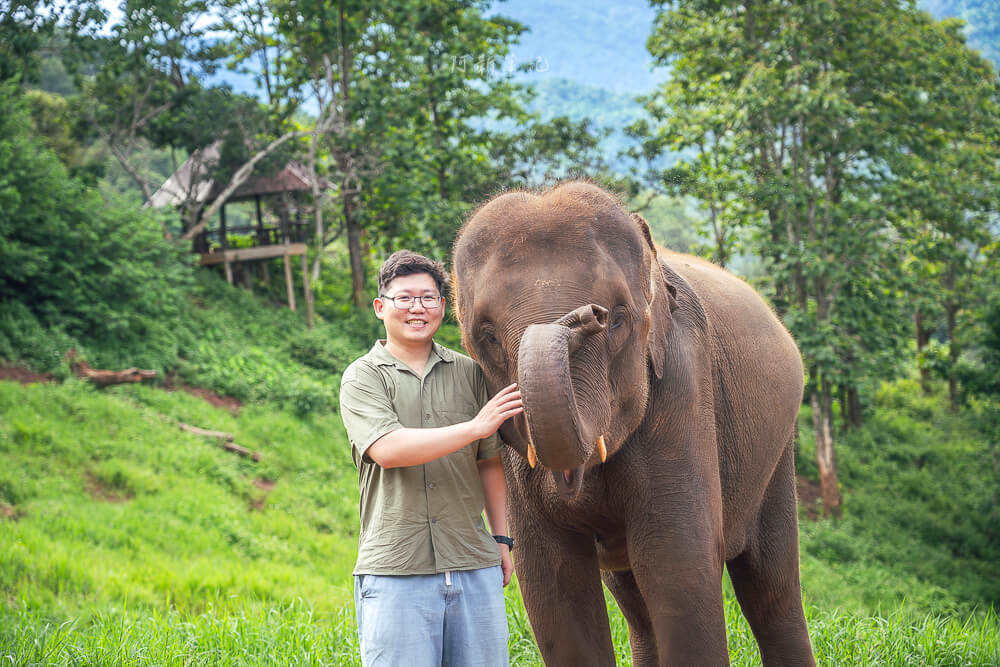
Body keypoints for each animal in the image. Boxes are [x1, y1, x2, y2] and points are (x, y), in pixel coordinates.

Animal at [451, 181, 815, 666]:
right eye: (487, 335)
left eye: (619, 318)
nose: (590, 314)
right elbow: (553, 584)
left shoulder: (683, 382)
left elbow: (676, 563)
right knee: (635, 603)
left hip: (777, 452)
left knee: (771, 587)